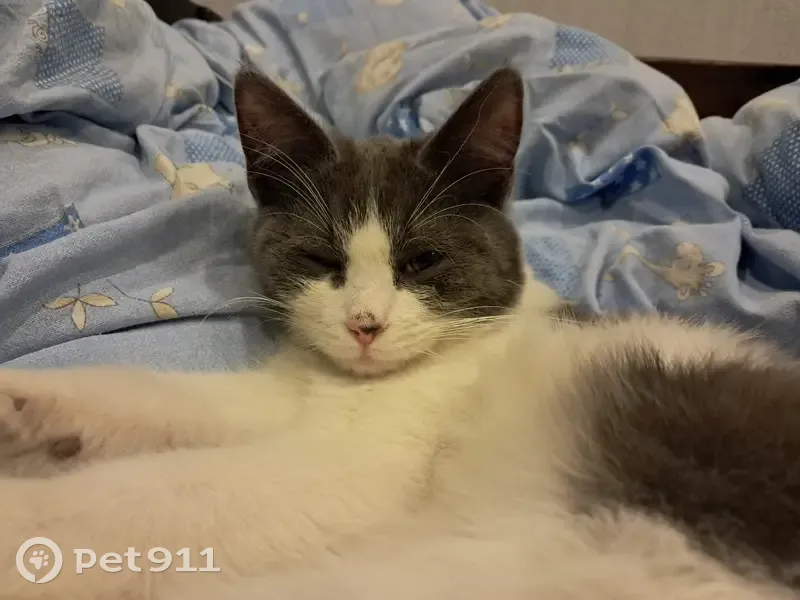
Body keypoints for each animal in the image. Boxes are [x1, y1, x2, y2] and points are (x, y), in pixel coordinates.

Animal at [0, 67, 799, 600]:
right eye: (321, 260)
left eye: (421, 261)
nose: (365, 324)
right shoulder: (289, 394)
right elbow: (161, 395)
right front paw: (26, 409)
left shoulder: (359, 464)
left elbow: (170, 490)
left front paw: (23, 520)